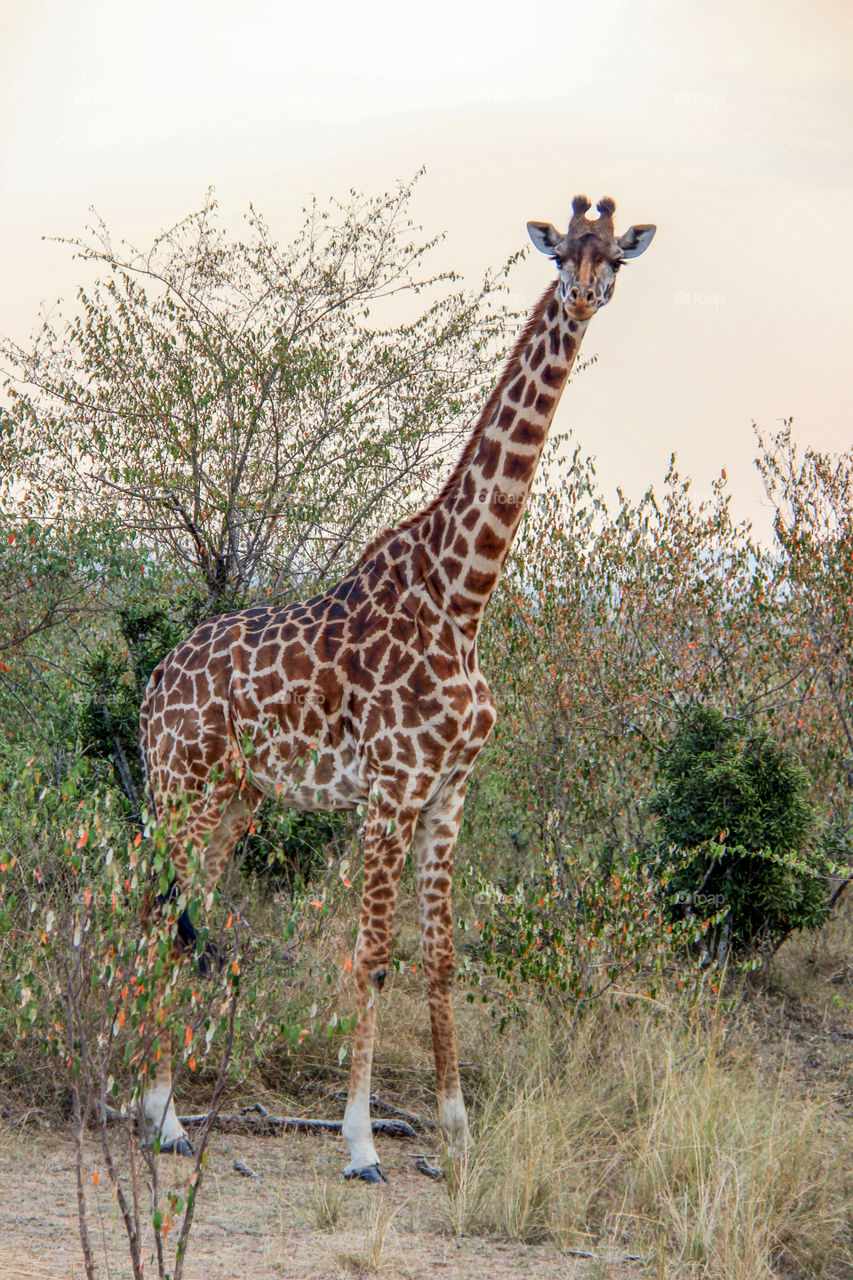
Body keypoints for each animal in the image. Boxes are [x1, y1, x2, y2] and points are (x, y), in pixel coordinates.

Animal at [139, 192, 653, 1177]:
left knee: (189, 913)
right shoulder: (391, 787)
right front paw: (358, 1142)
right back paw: (160, 1116)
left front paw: (456, 1130)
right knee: (156, 912)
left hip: (236, 798)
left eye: (616, 257)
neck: (465, 595)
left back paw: (157, 1110)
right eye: (563, 251)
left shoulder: (449, 792)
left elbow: (441, 957)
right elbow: (373, 953)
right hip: (180, 782)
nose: (584, 295)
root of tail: (152, 683)